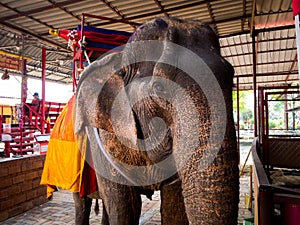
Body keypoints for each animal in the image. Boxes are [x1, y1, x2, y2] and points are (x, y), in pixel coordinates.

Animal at [74, 16, 239, 224]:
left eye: (231, 82)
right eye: (159, 87)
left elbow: (174, 207)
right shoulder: (104, 139)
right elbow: (124, 207)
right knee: (84, 203)